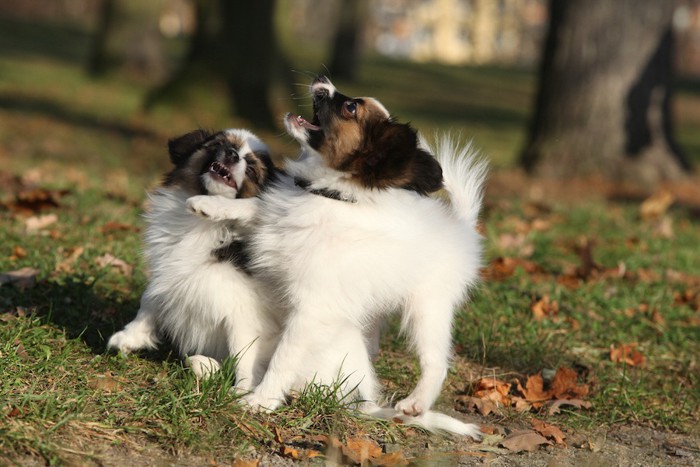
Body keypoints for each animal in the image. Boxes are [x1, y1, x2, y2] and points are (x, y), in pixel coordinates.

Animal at [106, 129, 278, 392]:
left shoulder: (244, 311)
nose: (231, 154)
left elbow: (245, 352)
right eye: (219, 144)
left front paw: (241, 392)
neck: (203, 226)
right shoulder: (170, 272)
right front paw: (130, 338)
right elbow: (150, 301)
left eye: (250, 168)